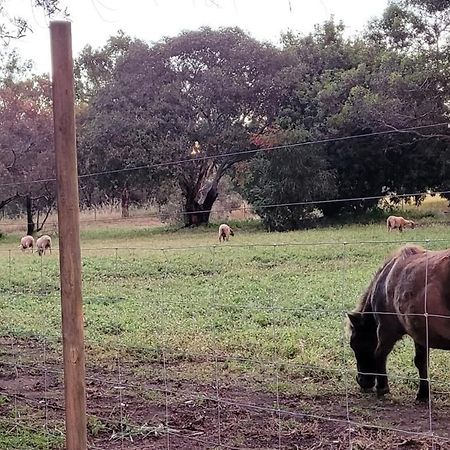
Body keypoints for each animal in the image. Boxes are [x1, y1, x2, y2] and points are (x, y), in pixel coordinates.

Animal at [350, 246, 450, 400]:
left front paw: (382, 388)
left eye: (354, 345)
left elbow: (380, 353)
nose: (362, 381)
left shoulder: (386, 329)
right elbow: (422, 362)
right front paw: (423, 394)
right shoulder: (421, 333)